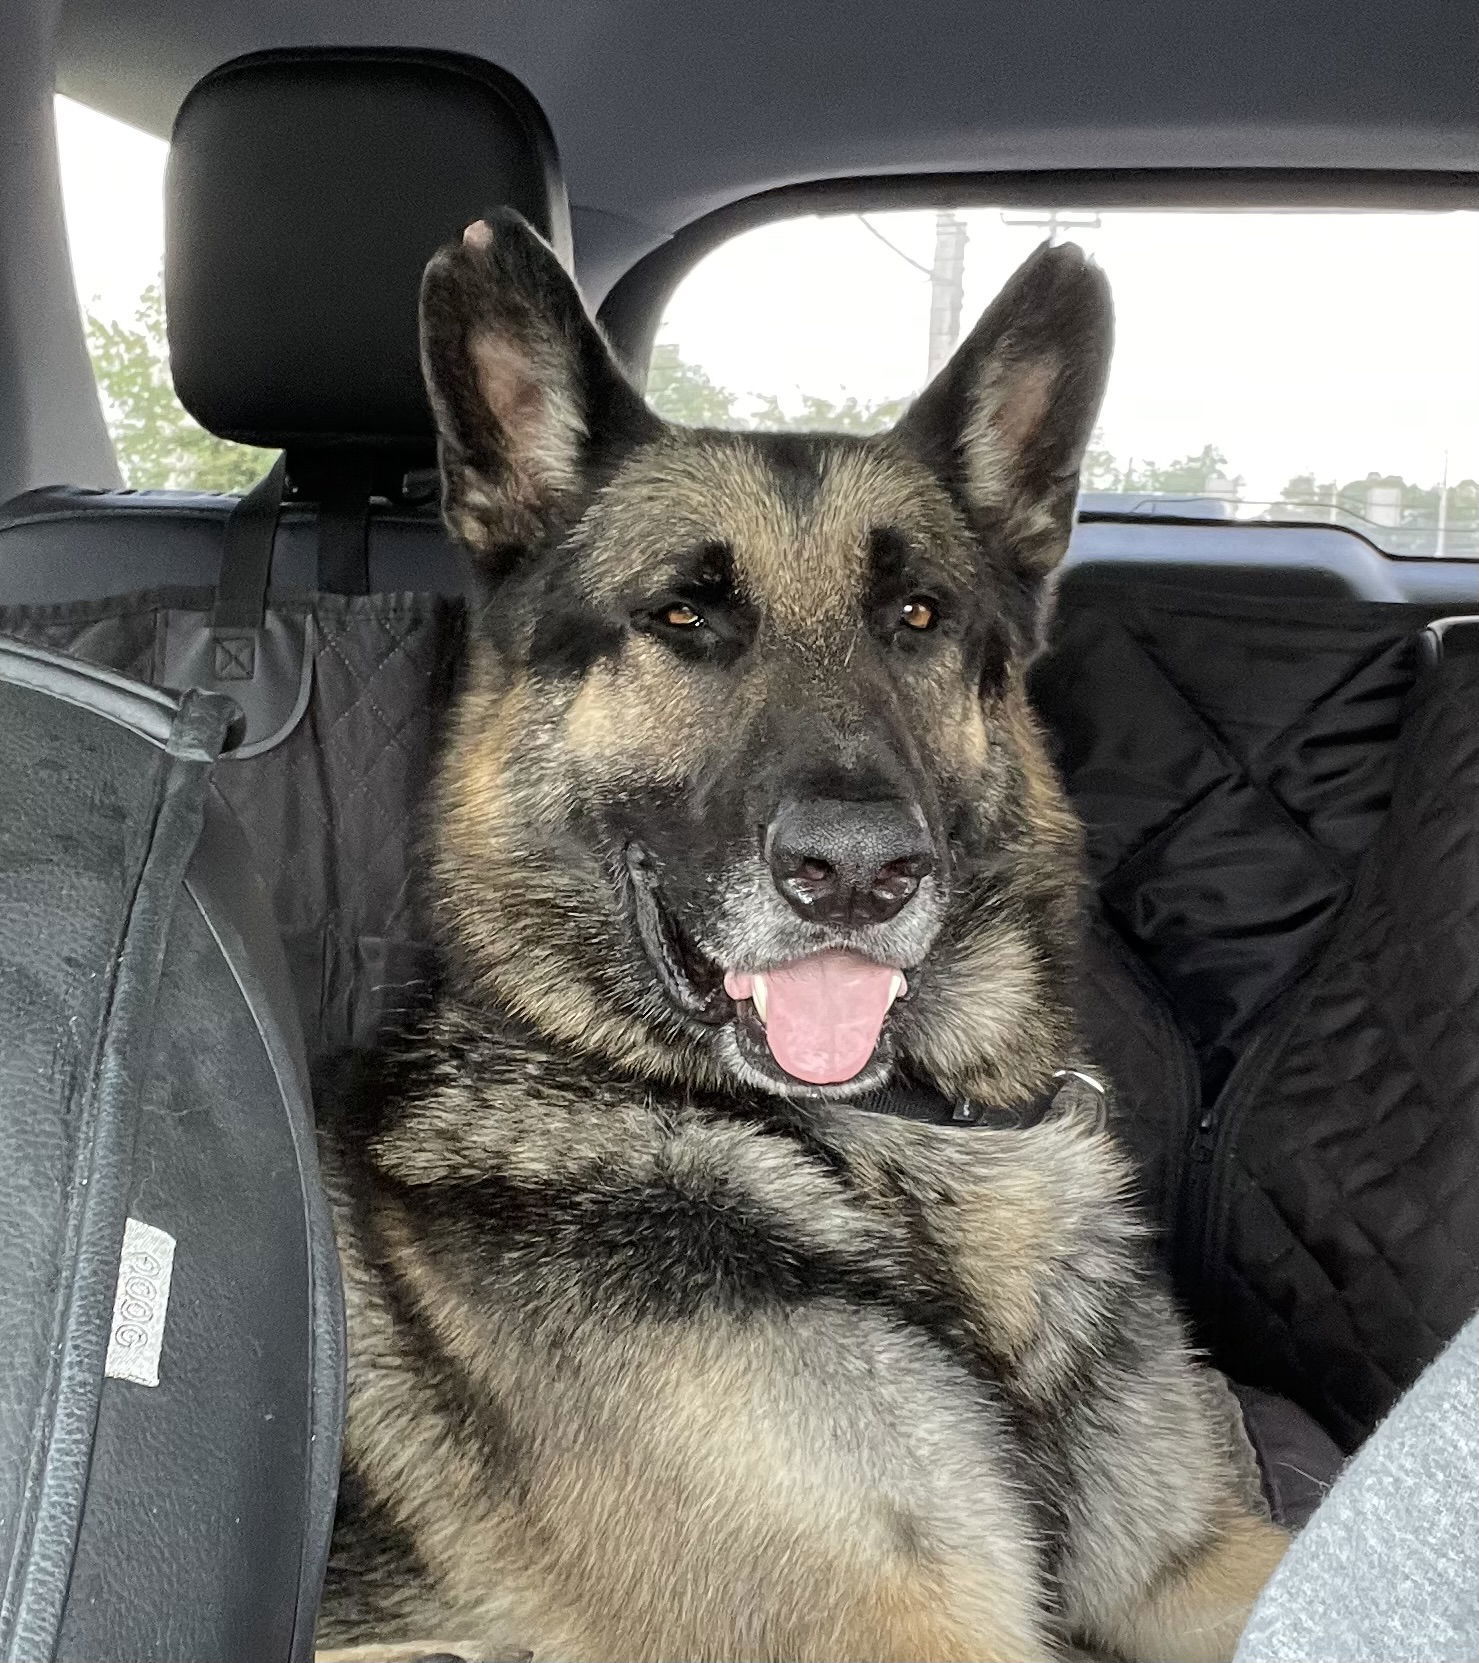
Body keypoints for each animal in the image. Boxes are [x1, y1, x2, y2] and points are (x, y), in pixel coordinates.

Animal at [317, 214, 1284, 1663]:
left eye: (919, 616)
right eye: (682, 615)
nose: (856, 871)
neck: (892, 1135)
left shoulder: (1194, 1565)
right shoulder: (904, 1627)